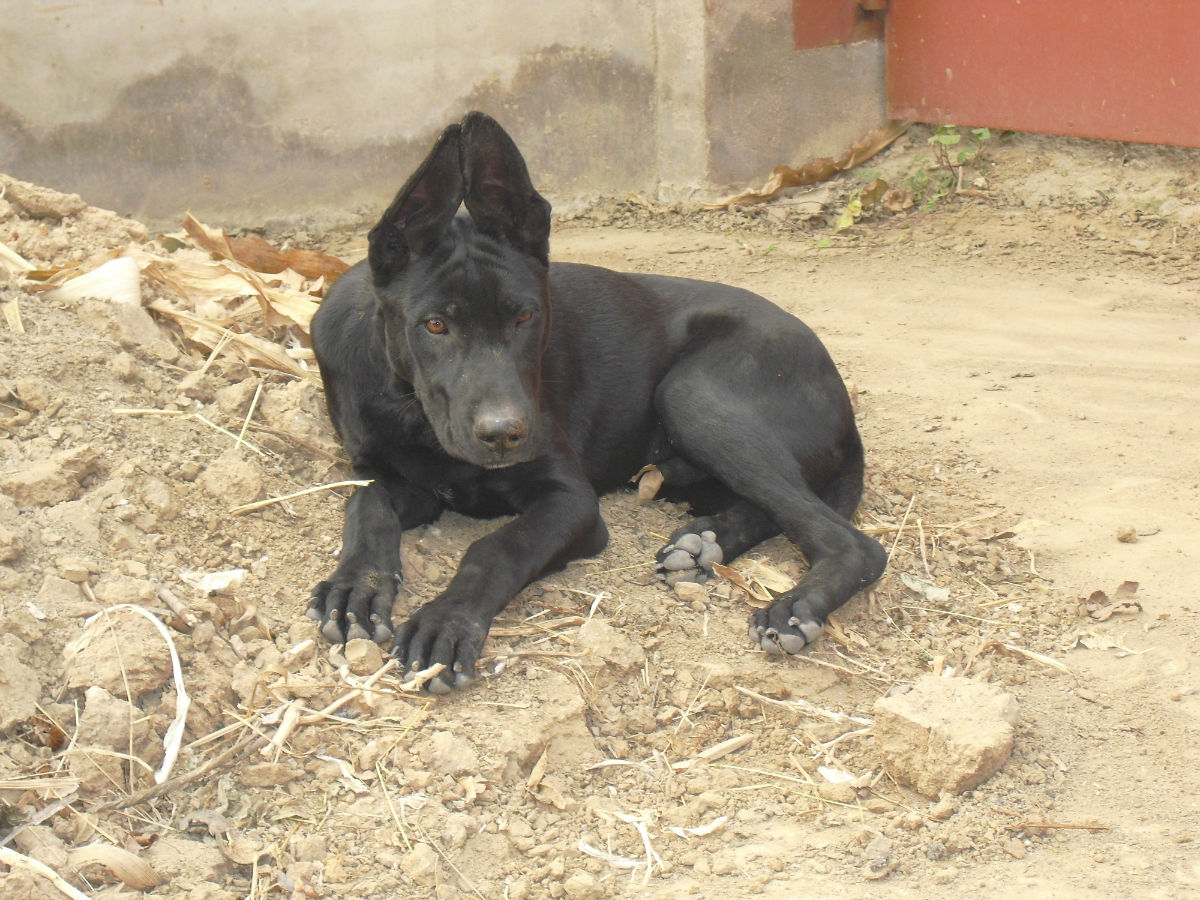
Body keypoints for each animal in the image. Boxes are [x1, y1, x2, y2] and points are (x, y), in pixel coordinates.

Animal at [309, 111, 888, 691]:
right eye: (434, 325)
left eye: (525, 316)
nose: (505, 435)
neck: (412, 411)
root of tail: (841, 396)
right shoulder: (388, 474)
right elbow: (365, 503)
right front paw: (355, 585)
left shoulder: (571, 500)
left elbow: (495, 548)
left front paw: (446, 621)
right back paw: (706, 540)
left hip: (692, 394)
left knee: (854, 542)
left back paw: (795, 606)